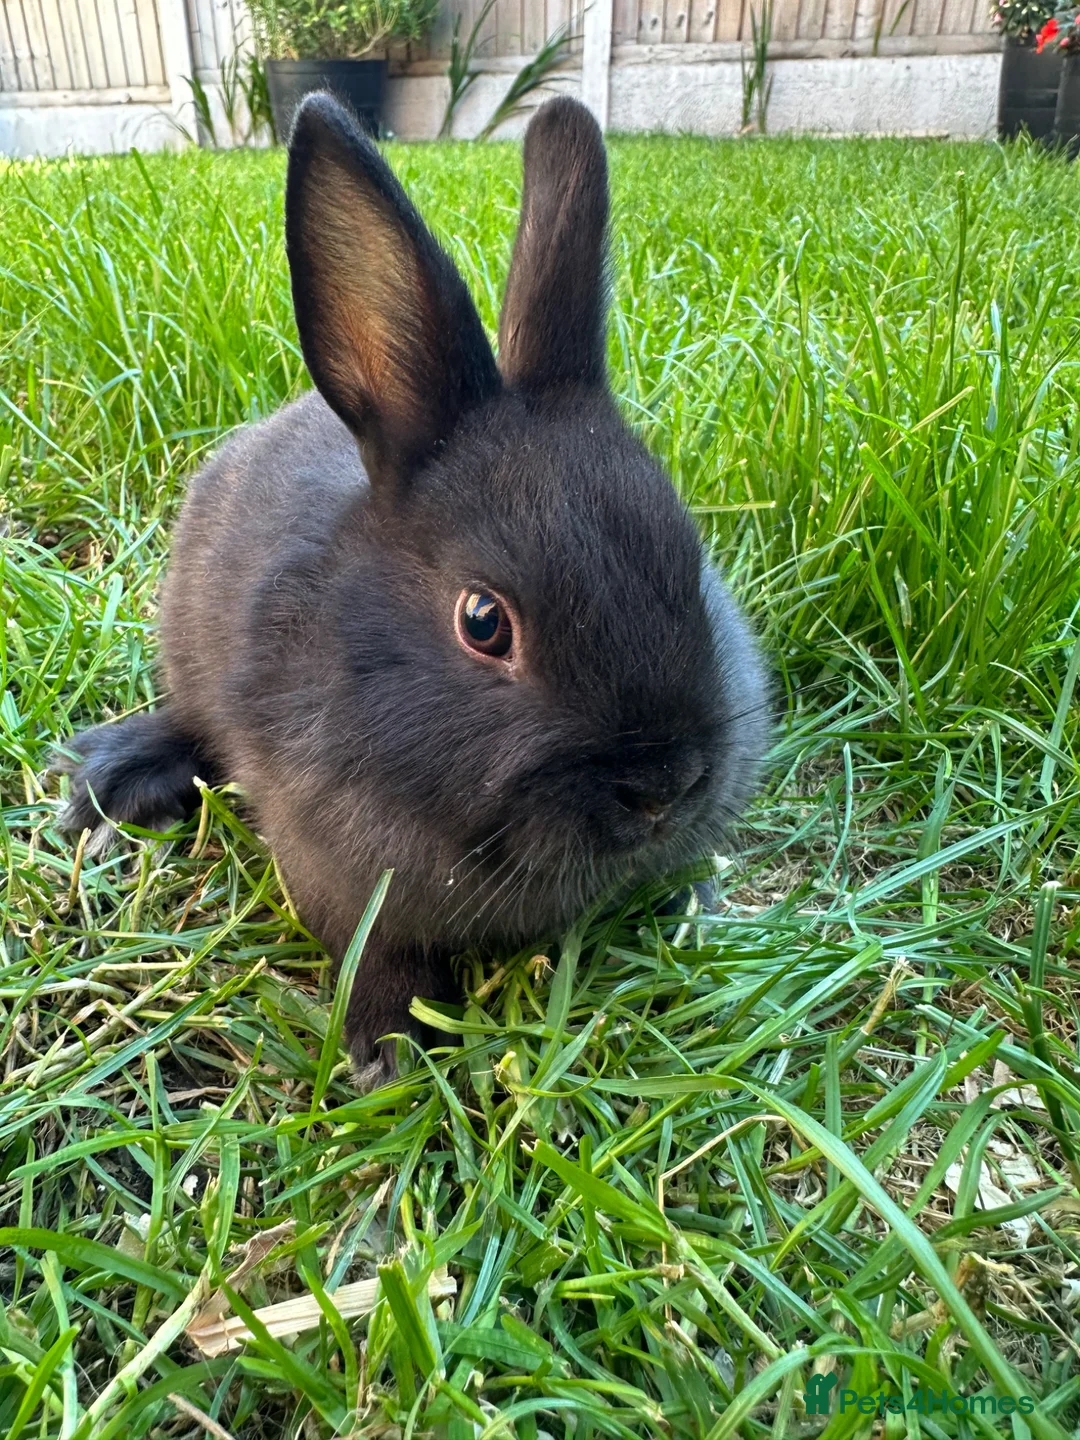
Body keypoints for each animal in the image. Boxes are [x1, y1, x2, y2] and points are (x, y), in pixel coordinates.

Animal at [59, 92, 768, 1084]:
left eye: (690, 558)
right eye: (484, 622)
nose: (664, 786)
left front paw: (691, 910)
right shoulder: (337, 871)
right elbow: (377, 951)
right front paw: (388, 1052)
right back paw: (116, 777)